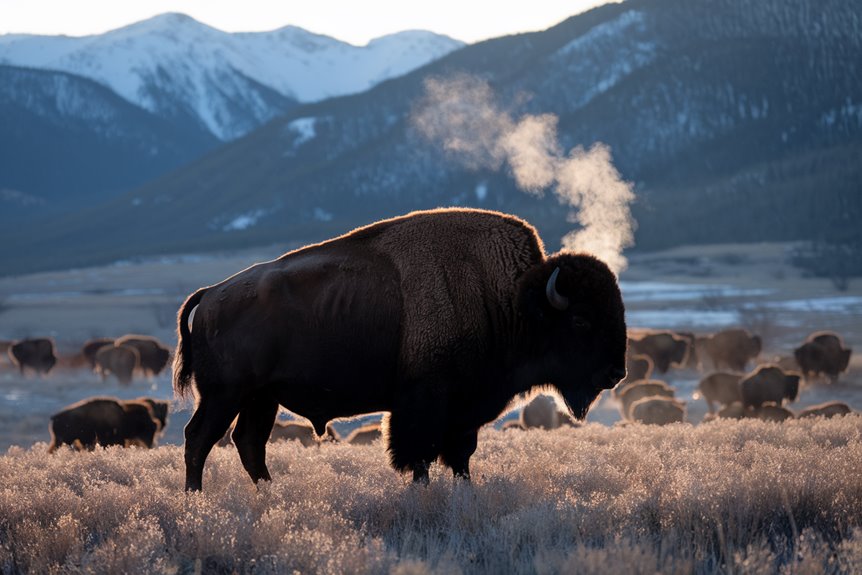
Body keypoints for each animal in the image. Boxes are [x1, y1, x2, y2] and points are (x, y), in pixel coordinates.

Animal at [174, 208, 627, 490]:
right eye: (581, 321)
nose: (616, 373)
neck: (509, 300)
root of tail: (211, 294)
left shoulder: (463, 411)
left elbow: (460, 456)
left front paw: (464, 490)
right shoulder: (423, 403)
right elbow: (419, 454)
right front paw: (423, 491)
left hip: (261, 398)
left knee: (249, 443)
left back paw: (269, 494)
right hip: (224, 394)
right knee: (199, 438)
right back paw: (196, 499)